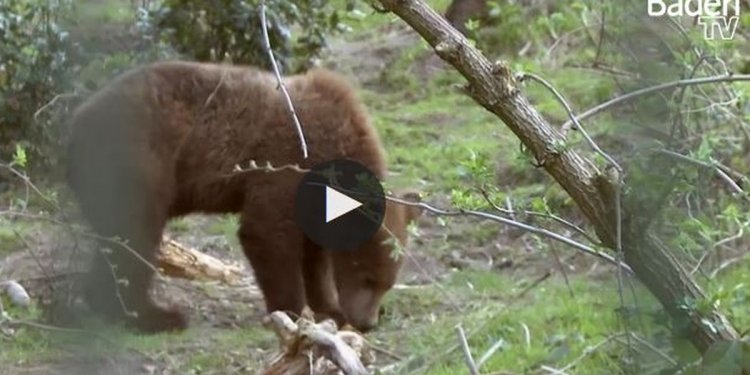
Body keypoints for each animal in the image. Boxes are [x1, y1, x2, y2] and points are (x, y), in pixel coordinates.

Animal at [66, 60, 424, 334]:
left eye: (388, 283)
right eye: (368, 278)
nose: (367, 323)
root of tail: (74, 123)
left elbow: (314, 257)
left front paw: (329, 308)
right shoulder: (286, 160)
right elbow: (267, 232)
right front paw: (291, 312)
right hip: (138, 159)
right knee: (136, 235)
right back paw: (156, 315)